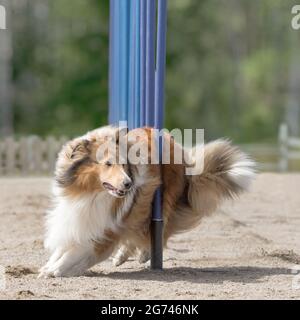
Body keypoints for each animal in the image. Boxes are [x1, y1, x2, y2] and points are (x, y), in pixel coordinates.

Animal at [39, 125, 255, 278]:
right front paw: (50, 265)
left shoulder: (105, 228)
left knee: (159, 230)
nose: (128, 184)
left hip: (161, 200)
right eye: (108, 163)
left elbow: (76, 251)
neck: (92, 193)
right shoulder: (77, 217)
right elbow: (64, 247)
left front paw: (55, 270)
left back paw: (145, 253)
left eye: (123, 163)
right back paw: (122, 256)